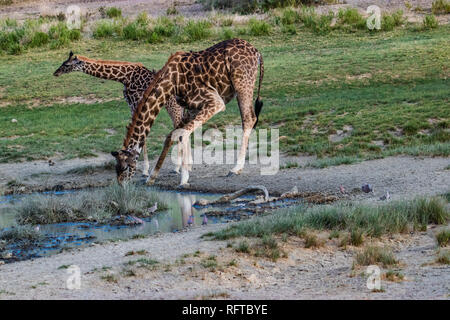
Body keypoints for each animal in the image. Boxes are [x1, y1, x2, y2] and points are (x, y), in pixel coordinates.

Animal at [52, 51, 186, 176]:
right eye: (63, 62)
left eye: (66, 64)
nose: (55, 73)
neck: (125, 77)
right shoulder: (132, 105)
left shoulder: (138, 102)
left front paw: (144, 171)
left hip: (174, 106)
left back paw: (177, 168)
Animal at [111, 37, 264, 188]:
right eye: (116, 168)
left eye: (125, 167)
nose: (121, 186)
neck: (171, 82)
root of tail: (257, 52)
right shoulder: (192, 108)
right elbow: (171, 136)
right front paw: (151, 177)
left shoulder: (215, 102)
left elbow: (183, 133)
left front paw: (184, 179)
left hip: (242, 84)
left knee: (248, 119)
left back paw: (235, 169)